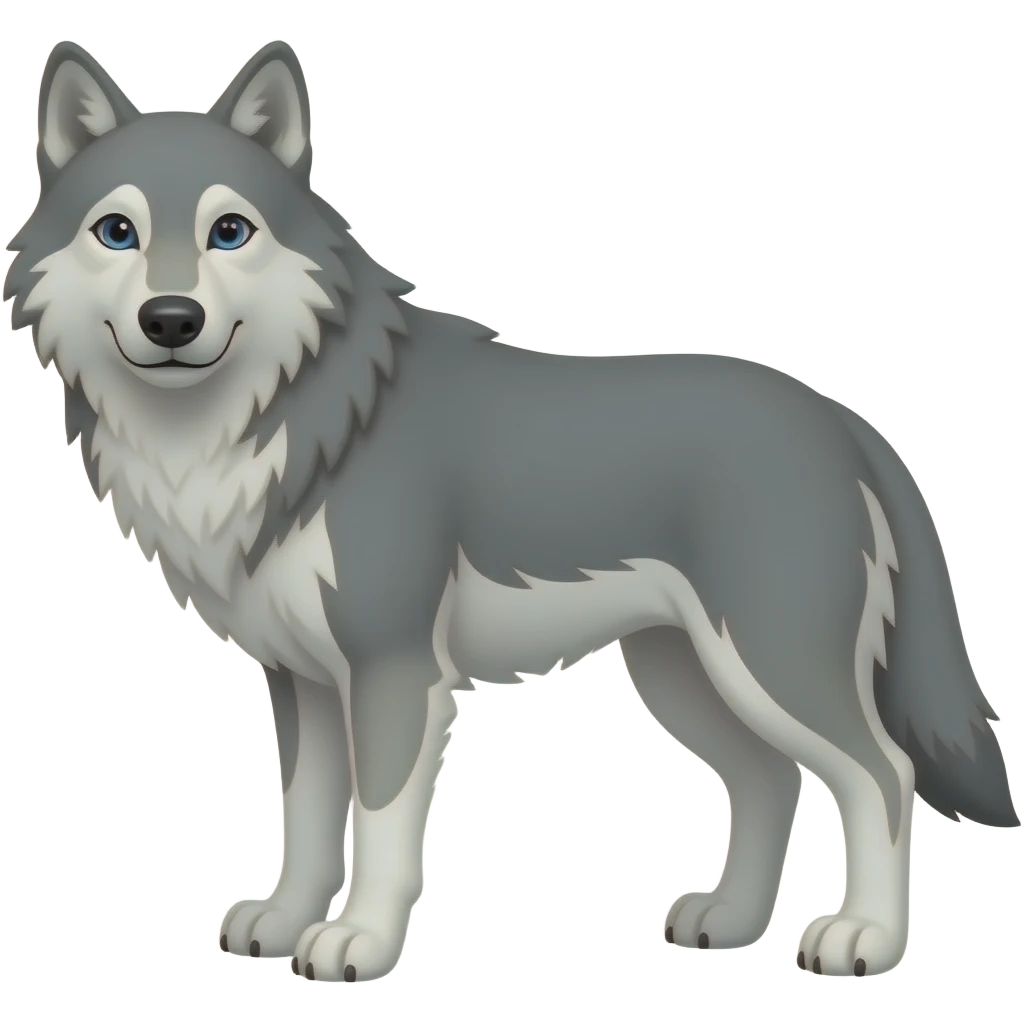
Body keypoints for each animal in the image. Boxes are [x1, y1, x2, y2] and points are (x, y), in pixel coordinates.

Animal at [3, 38, 1017, 983]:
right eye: (117, 231)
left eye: (229, 231)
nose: (171, 320)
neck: (286, 419)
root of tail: (840, 418)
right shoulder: (302, 682)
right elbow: (307, 818)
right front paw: (286, 924)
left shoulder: (393, 672)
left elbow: (378, 825)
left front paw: (359, 943)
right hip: (683, 676)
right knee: (773, 780)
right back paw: (728, 923)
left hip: (768, 666)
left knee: (881, 775)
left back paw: (864, 938)